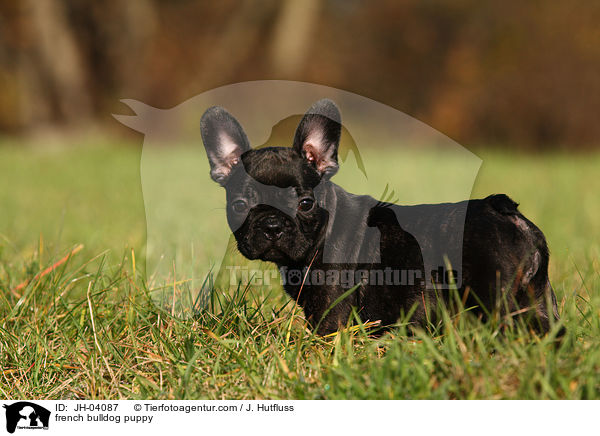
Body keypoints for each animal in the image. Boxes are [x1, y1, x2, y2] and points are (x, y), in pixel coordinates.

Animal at [203, 100, 564, 336]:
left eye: (305, 203)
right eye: (239, 205)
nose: (272, 225)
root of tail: (505, 210)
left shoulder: (330, 310)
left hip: (494, 299)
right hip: (537, 300)